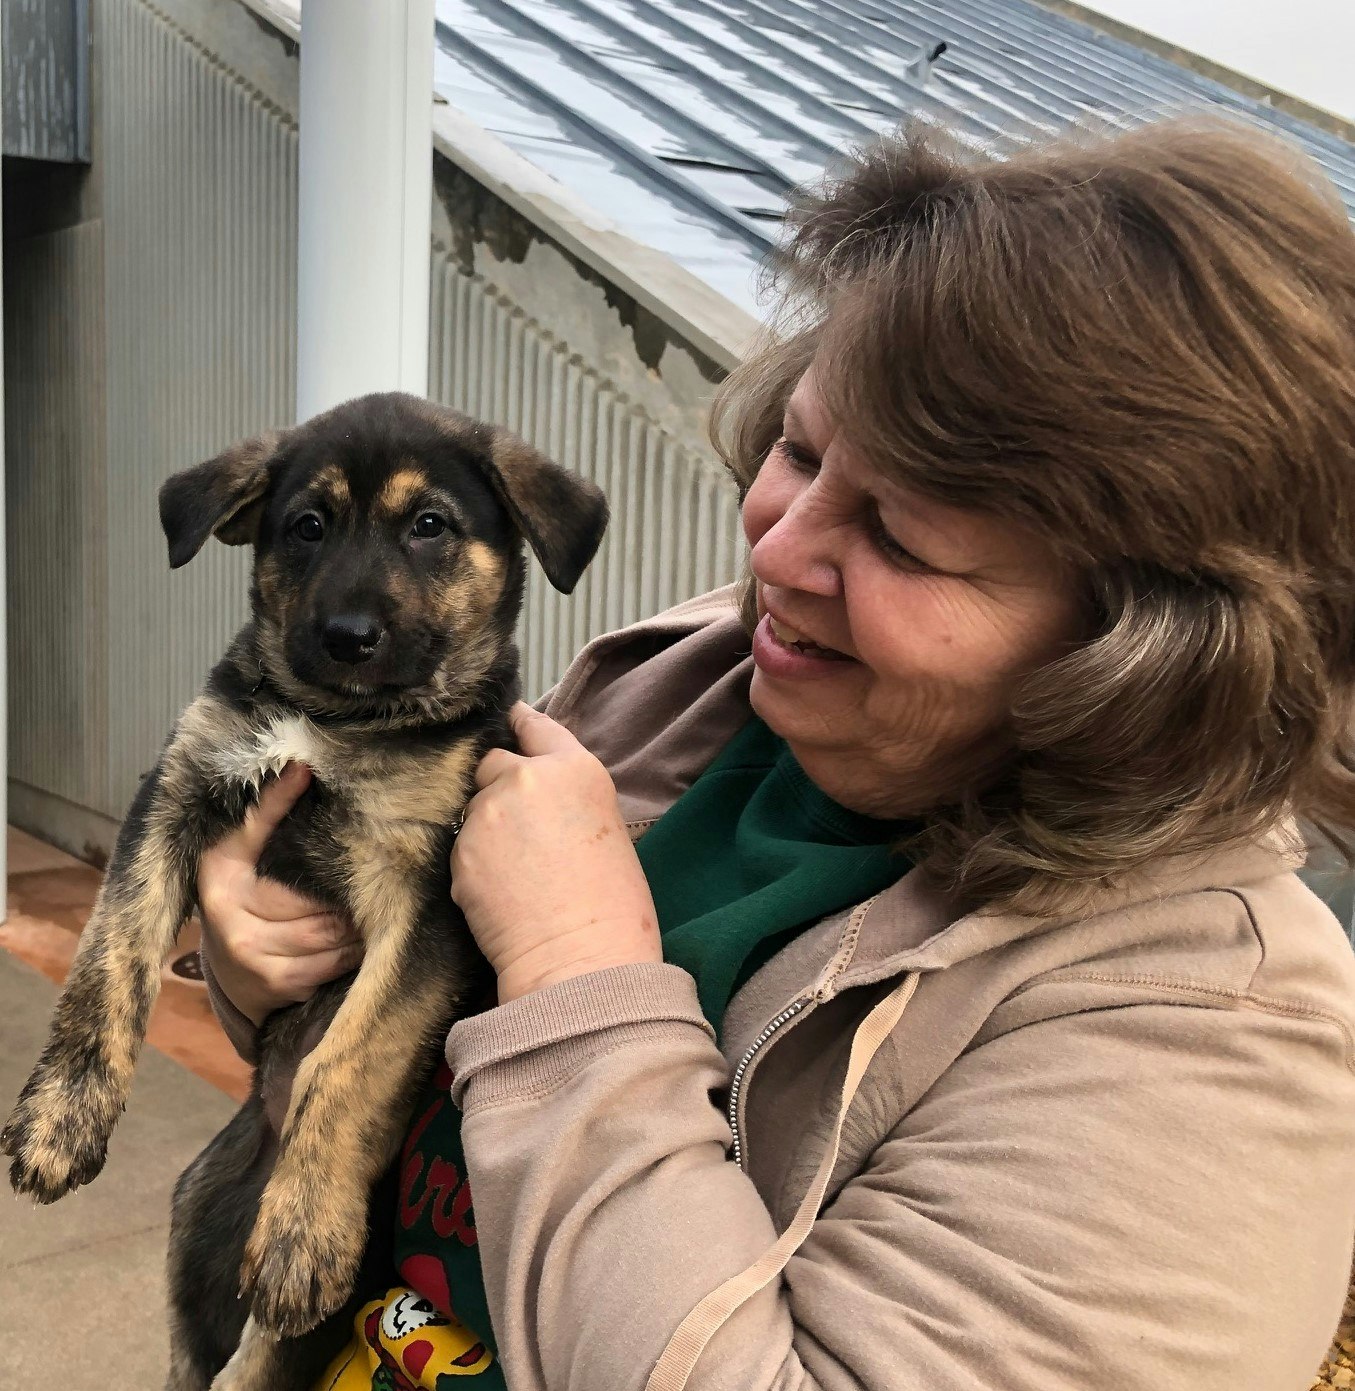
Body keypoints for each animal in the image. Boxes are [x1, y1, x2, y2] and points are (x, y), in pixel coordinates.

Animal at [0, 395, 603, 1391]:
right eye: (306, 526)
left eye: (429, 525)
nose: (347, 637)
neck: (338, 719)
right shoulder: (175, 792)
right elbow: (109, 955)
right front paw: (60, 1116)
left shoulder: (427, 900)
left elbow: (350, 1055)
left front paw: (304, 1228)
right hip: (194, 1221)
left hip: (286, 1320)